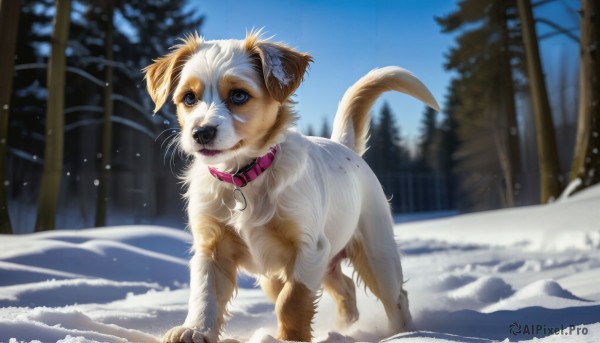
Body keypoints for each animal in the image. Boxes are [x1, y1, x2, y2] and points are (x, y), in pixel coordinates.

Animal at [143, 30, 438, 342]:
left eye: (238, 95)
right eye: (189, 98)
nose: (201, 132)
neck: (243, 176)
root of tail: (343, 146)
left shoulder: (309, 248)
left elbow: (293, 300)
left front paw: (289, 337)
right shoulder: (211, 246)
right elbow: (205, 294)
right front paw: (195, 330)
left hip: (377, 254)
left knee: (396, 297)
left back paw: (405, 333)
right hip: (290, 271)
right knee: (345, 288)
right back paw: (346, 328)